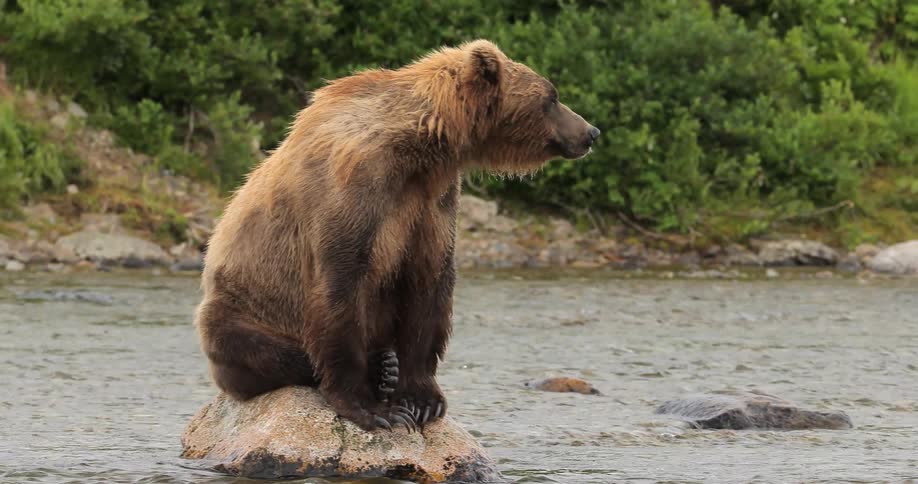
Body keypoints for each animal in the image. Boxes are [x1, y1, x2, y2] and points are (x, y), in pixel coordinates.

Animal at [194, 39, 599, 431]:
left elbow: (428, 282)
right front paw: (374, 409)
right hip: (241, 306)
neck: (421, 145)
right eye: (552, 97)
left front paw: (423, 400)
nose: (591, 132)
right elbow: (341, 281)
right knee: (254, 345)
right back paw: (379, 366)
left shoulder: (431, 200)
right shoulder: (356, 188)